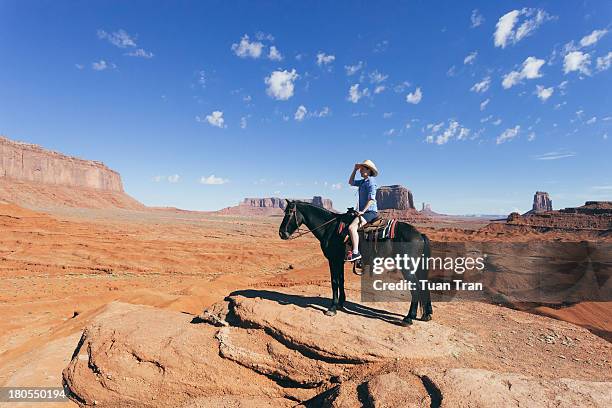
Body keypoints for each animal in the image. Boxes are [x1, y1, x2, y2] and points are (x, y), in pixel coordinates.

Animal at [278, 199, 430, 326]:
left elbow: (334, 282)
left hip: (407, 267)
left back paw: (409, 318)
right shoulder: (340, 261)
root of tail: (419, 235)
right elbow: (341, 280)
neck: (330, 228)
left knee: (416, 287)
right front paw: (341, 303)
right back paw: (426, 315)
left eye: (289, 213)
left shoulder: (333, 260)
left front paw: (332, 307)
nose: (281, 233)